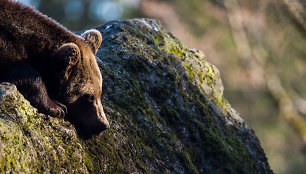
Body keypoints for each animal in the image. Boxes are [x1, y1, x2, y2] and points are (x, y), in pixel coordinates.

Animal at [0, 0, 110, 137]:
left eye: (99, 92)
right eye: (89, 96)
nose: (104, 125)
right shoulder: (7, 46)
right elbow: (23, 74)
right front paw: (58, 107)